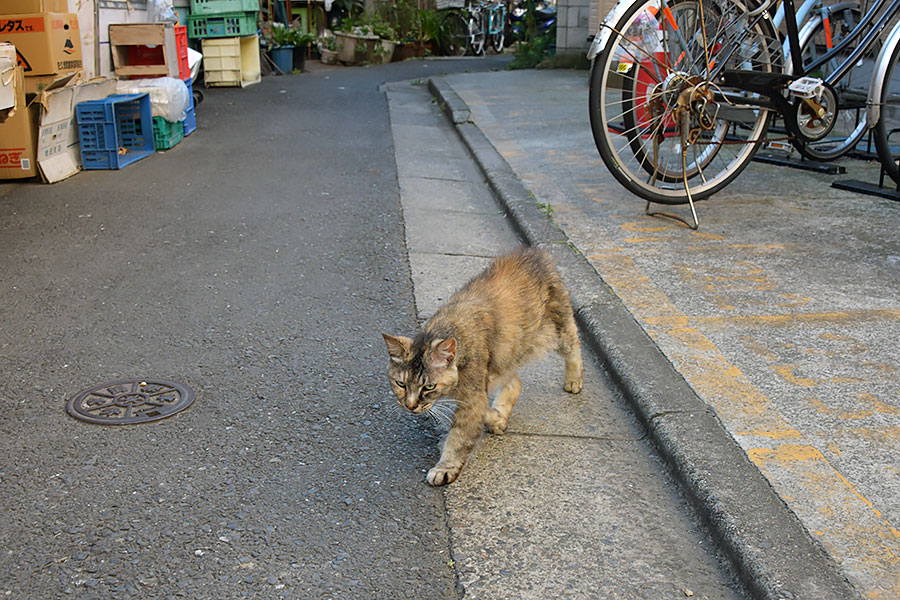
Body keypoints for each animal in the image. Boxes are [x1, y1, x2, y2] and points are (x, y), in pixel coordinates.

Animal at [380, 246, 584, 486]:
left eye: (429, 386)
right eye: (401, 383)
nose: (410, 406)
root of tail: (535, 251)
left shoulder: (472, 399)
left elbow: (458, 438)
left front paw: (444, 468)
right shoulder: (475, 394)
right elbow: (483, 411)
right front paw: (496, 418)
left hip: (557, 328)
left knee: (574, 345)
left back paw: (574, 380)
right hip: (506, 356)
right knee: (515, 383)